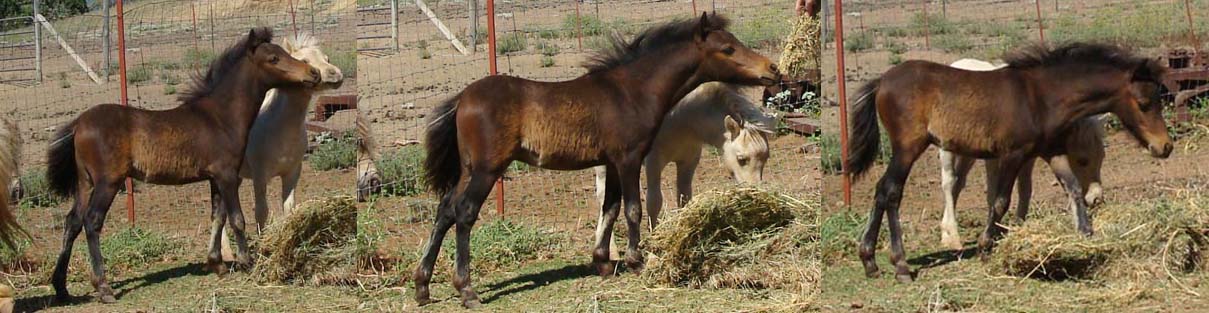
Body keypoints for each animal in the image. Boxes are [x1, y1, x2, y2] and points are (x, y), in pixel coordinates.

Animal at [47, 28, 321, 303]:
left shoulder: (214, 177)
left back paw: (61, 288)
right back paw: (103, 287)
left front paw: (217, 264)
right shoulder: (228, 175)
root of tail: (79, 124)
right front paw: (247, 262)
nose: (314, 73)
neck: (220, 117)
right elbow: (237, 219)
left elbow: (217, 216)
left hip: (84, 182)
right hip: (108, 182)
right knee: (91, 221)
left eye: (285, 52)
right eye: (274, 58)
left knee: (72, 222)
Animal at [592, 82, 773, 232]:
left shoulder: (689, 161)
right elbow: (654, 202)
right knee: (602, 198)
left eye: (766, 159)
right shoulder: (653, 161)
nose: (757, 194)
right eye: (742, 159)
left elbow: (684, 198)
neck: (681, 118)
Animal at [933, 58, 1107, 250]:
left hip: (967, 155)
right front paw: (993, 233)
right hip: (947, 151)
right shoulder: (1001, 158)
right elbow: (995, 192)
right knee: (949, 183)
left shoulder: (1027, 158)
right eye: (1083, 160)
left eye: (1102, 158)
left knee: (958, 183)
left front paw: (1017, 224)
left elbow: (1024, 188)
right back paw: (951, 237)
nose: (1096, 199)